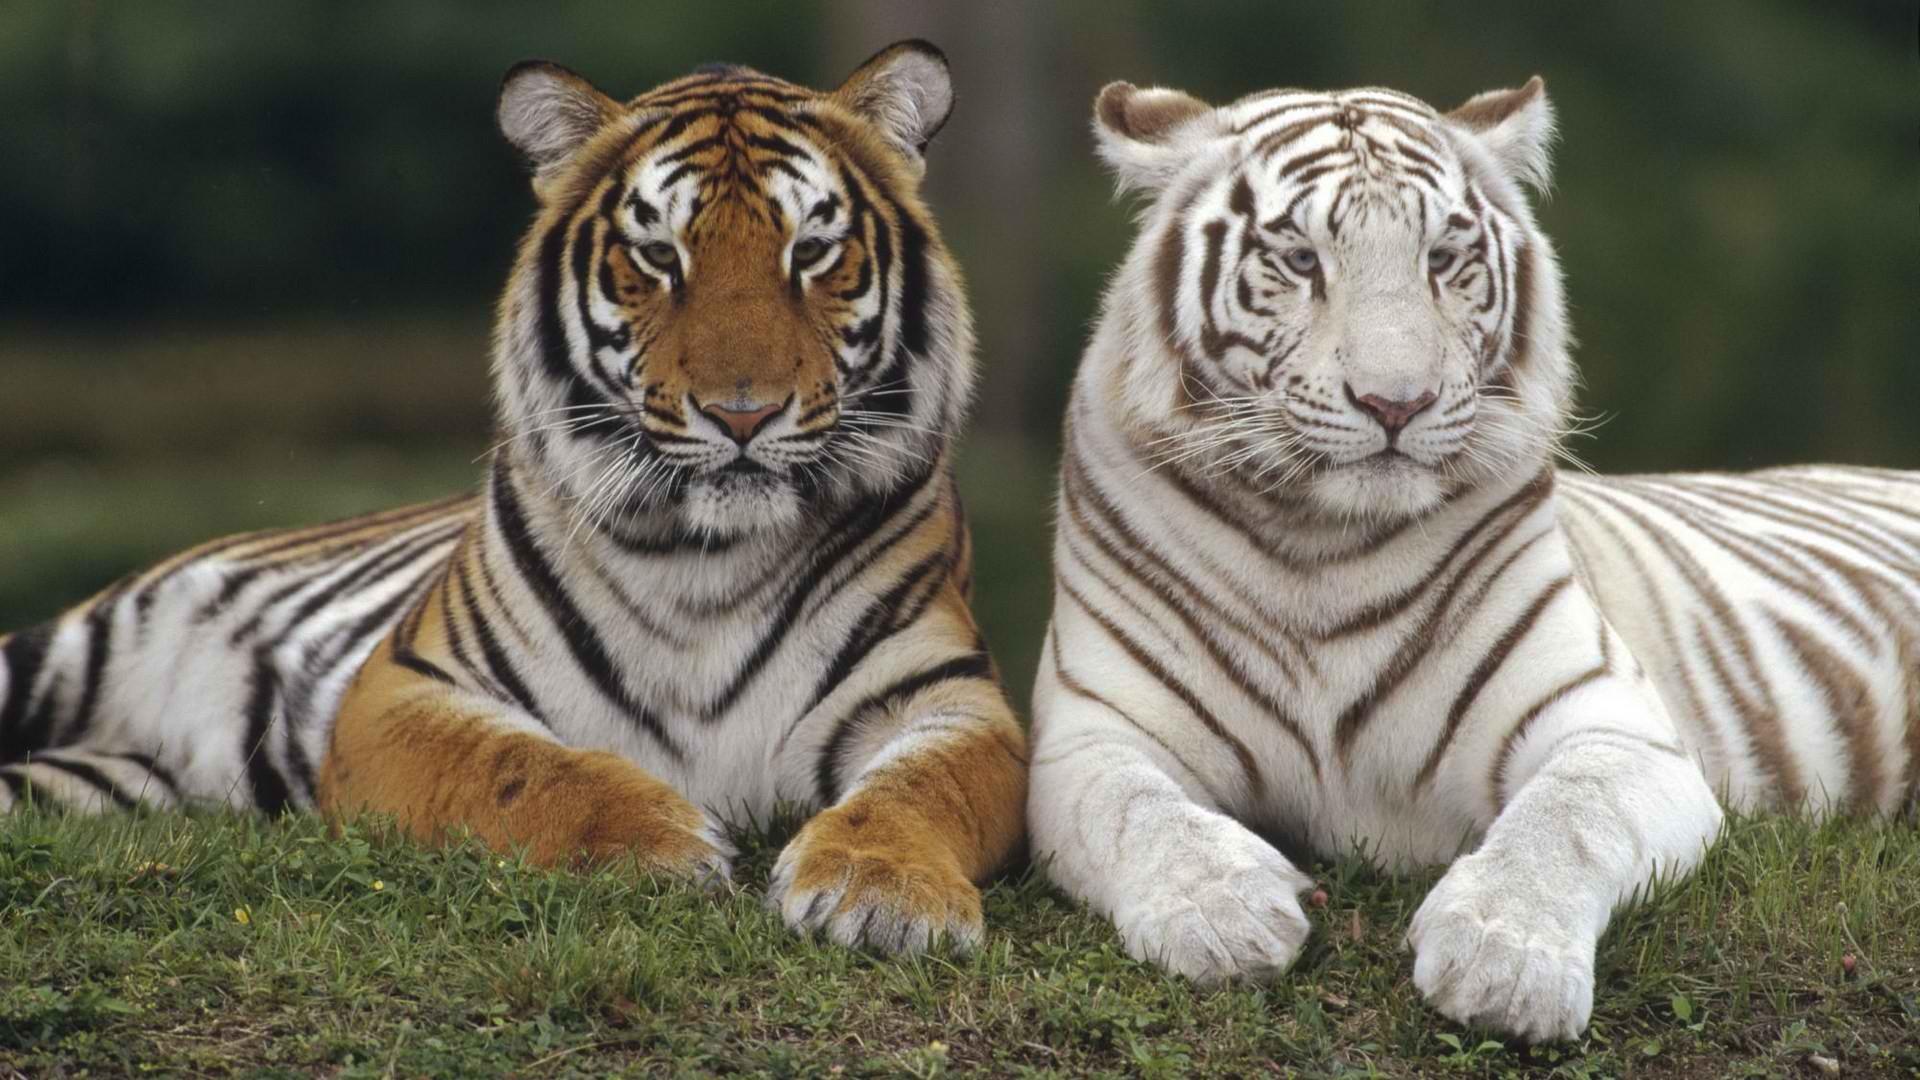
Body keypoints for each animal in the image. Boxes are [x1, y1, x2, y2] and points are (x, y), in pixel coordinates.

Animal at [0, 41, 1028, 956]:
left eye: (812, 250)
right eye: (659, 255)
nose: (743, 414)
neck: (709, 558)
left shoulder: (951, 700)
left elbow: (920, 789)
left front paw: (884, 892)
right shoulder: (403, 689)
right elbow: (522, 767)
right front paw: (663, 840)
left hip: (112, 784)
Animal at [1027, 74, 1919, 1041]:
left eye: (1444, 258)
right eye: (1300, 260)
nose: (1396, 402)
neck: (1321, 547)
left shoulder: (1615, 726)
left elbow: (1567, 816)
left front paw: (1504, 960)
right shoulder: (1091, 735)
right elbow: (1137, 811)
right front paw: (1223, 914)